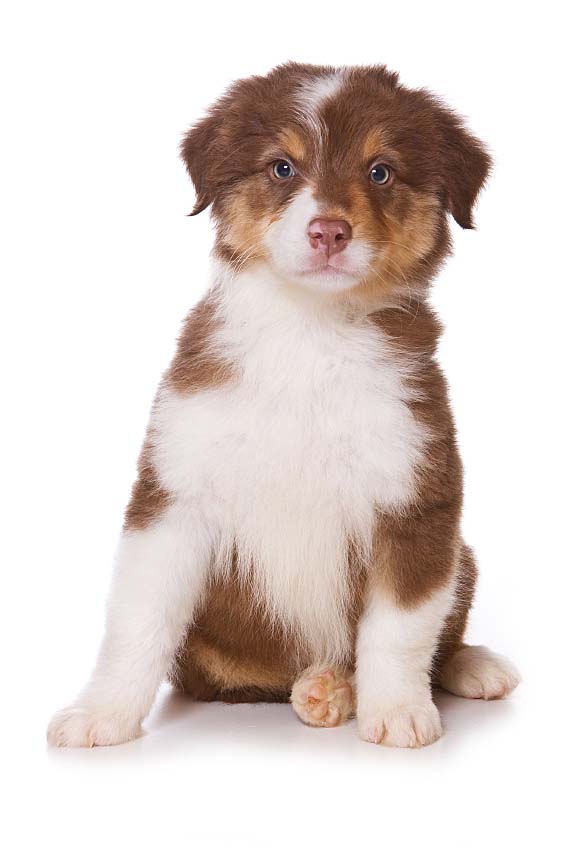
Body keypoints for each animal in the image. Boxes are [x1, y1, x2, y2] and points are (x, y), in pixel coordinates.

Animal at [47, 64, 520, 748]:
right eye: (281, 168)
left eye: (381, 171)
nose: (329, 231)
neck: (310, 334)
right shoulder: (175, 489)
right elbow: (138, 618)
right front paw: (101, 713)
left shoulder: (416, 497)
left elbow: (399, 628)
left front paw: (399, 711)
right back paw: (324, 689)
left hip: (464, 557)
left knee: (442, 635)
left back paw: (460, 668)